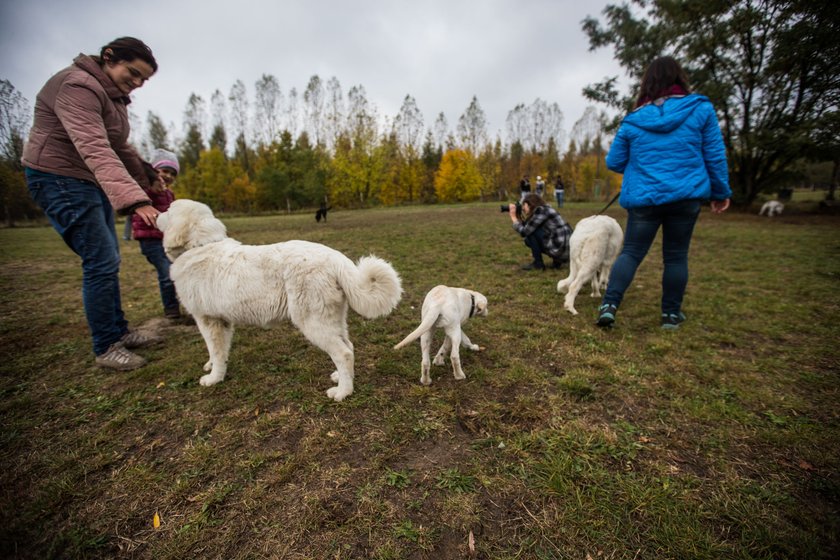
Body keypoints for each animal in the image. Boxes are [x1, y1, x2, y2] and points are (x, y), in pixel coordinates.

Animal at [155, 199, 404, 400]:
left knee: (343, 353)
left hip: (313, 323)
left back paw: (343, 392)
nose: (154, 214)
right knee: (348, 347)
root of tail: (335, 257)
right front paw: (212, 368)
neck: (199, 246)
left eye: (167, 209)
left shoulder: (208, 320)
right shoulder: (222, 321)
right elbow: (218, 352)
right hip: (333, 318)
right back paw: (341, 378)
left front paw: (214, 378)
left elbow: (216, 351)